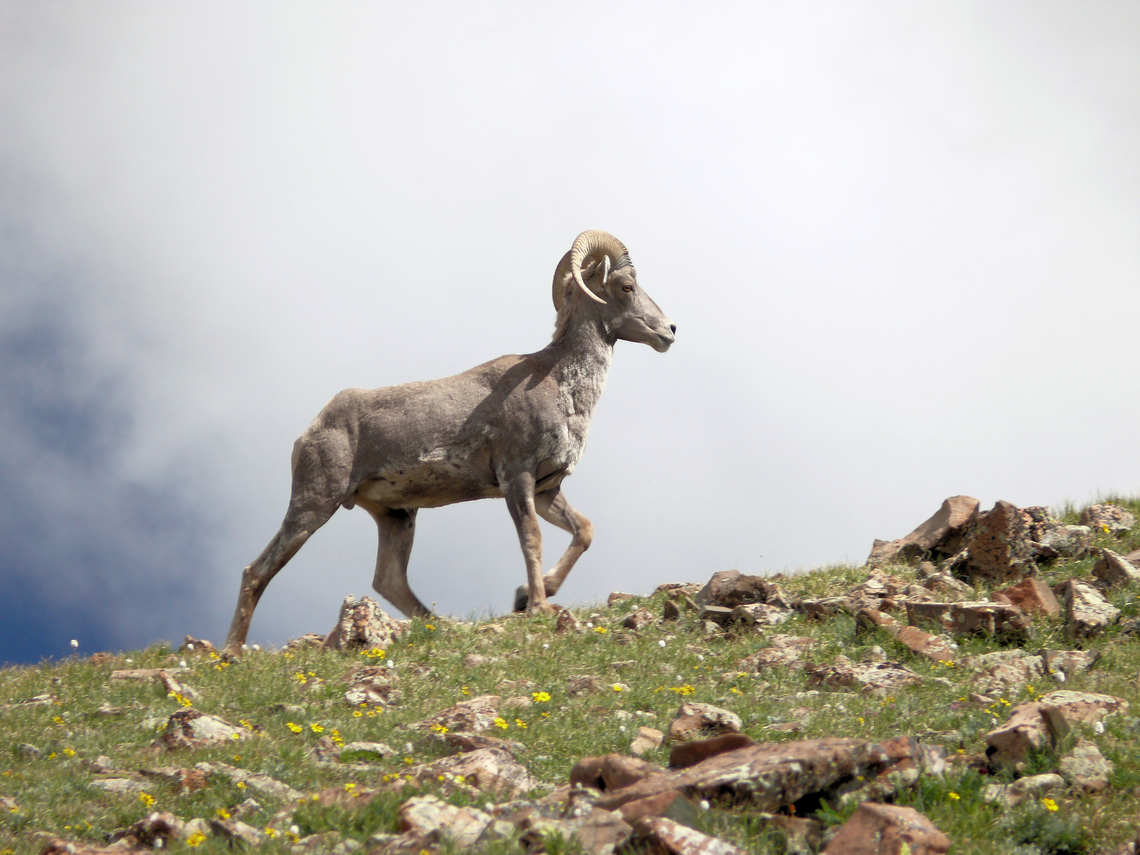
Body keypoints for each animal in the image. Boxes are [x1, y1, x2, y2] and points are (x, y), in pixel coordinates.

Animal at [223, 230, 675, 653]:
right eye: (626, 287)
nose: (670, 331)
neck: (561, 384)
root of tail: (310, 432)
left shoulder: (548, 490)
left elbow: (583, 531)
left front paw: (527, 596)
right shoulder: (517, 479)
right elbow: (532, 539)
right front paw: (538, 605)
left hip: (396, 516)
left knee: (389, 581)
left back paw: (442, 627)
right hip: (315, 505)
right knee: (257, 572)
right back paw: (232, 652)